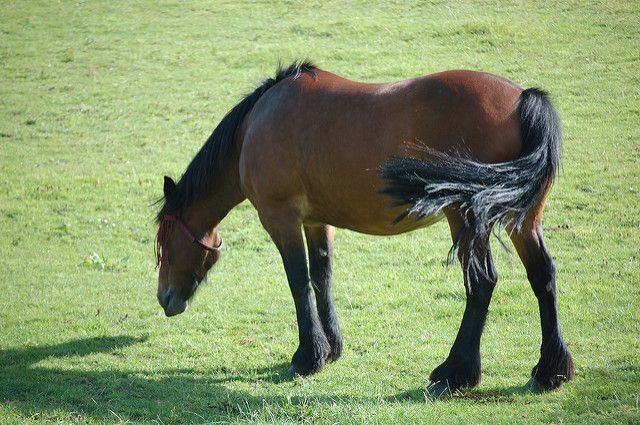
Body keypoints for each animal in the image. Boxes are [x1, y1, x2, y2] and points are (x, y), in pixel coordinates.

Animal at [154, 61, 574, 393]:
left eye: (164, 245)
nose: (164, 299)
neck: (257, 123)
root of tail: (524, 99)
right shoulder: (317, 220)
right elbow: (321, 277)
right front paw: (331, 348)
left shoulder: (281, 219)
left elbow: (298, 281)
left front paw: (308, 356)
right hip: (523, 220)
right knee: (543, 276)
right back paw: (549, 371)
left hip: (466, 218)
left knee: (482, 283)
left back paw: (455, 373)